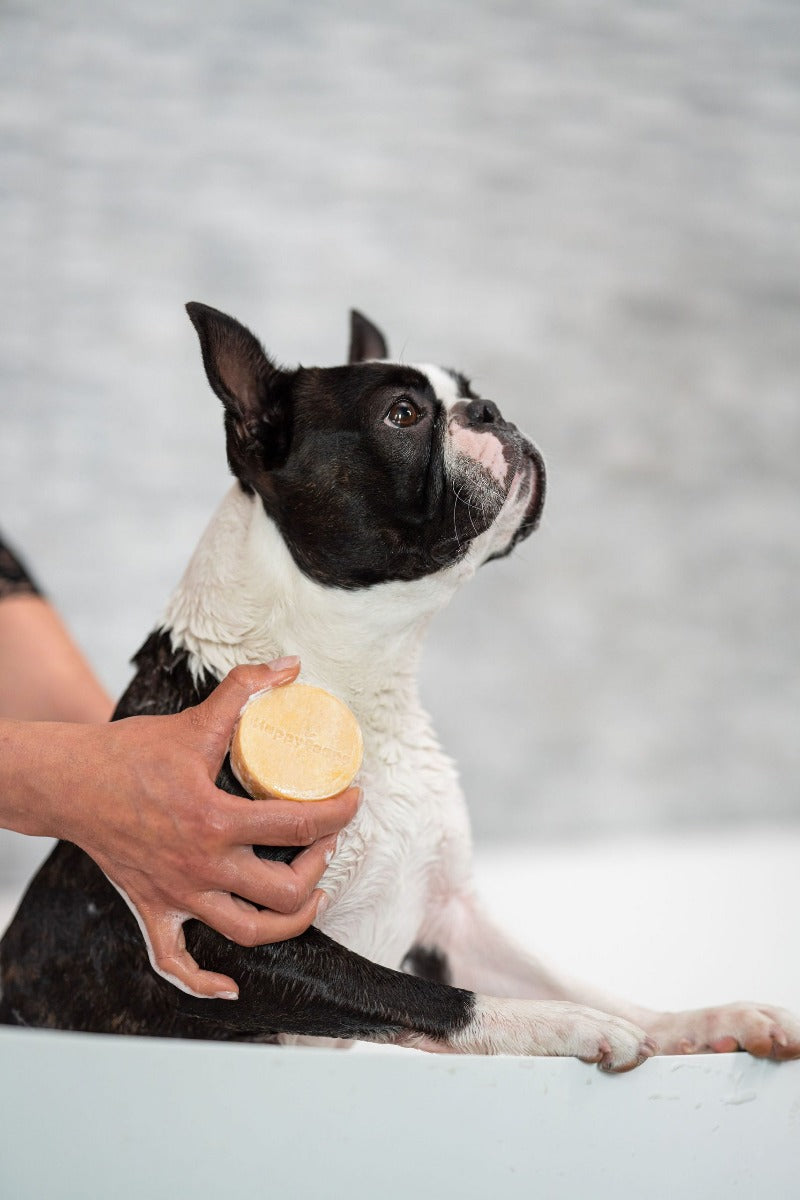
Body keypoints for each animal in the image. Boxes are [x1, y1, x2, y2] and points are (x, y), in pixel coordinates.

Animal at [3, 304, 796, 1075]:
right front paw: (571, 1025)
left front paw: (704, 1021)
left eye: (469, 388)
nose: (489, 410)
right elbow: (443, 1001)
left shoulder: (452, 918)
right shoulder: (230, 939)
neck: (363, 681)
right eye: (405, 414)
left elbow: (567, 980)